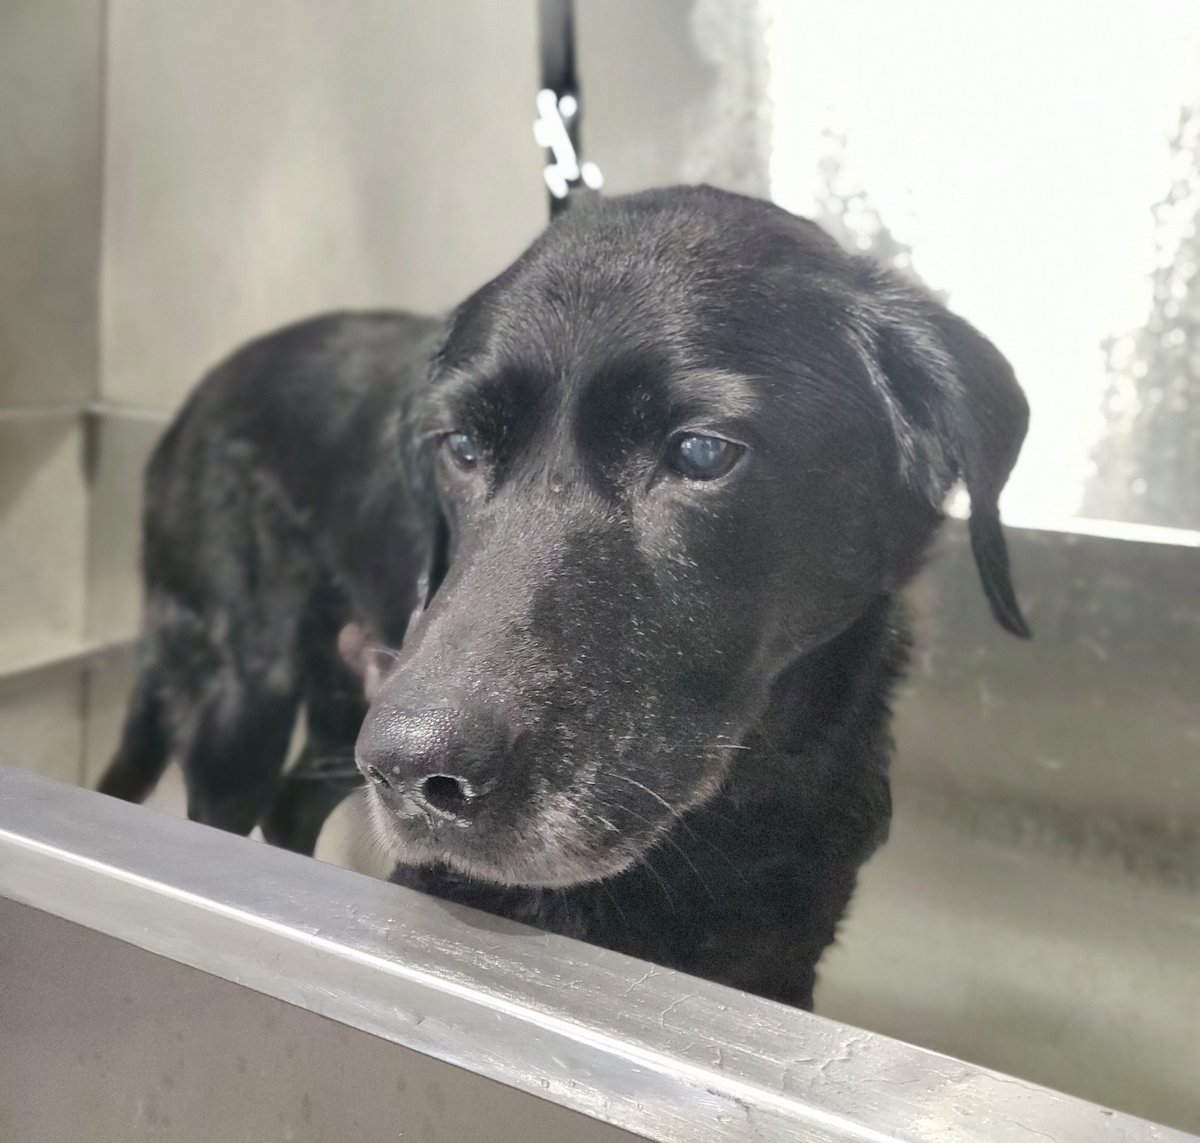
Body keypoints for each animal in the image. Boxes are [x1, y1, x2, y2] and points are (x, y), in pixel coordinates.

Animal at [98, 187, 1027, 1008]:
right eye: (462, 445)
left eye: (701, 451)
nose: (411, 768)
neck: (727, 814)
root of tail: (193, 402)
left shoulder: (781, 961)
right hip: (247, 705)